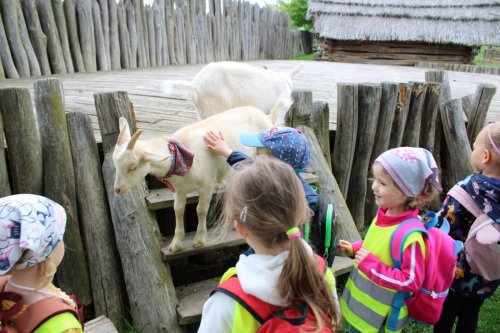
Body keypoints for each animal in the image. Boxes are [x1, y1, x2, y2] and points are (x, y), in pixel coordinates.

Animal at [111, 104, 280, 252]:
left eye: (132, 166)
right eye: (114, 163)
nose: (117, 190)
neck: (181, 156)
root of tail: (266, 115)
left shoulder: (206, 183)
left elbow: (201, 209)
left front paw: (199, 240)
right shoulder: (179, 189)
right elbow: (178, 209)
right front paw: (176, 244)